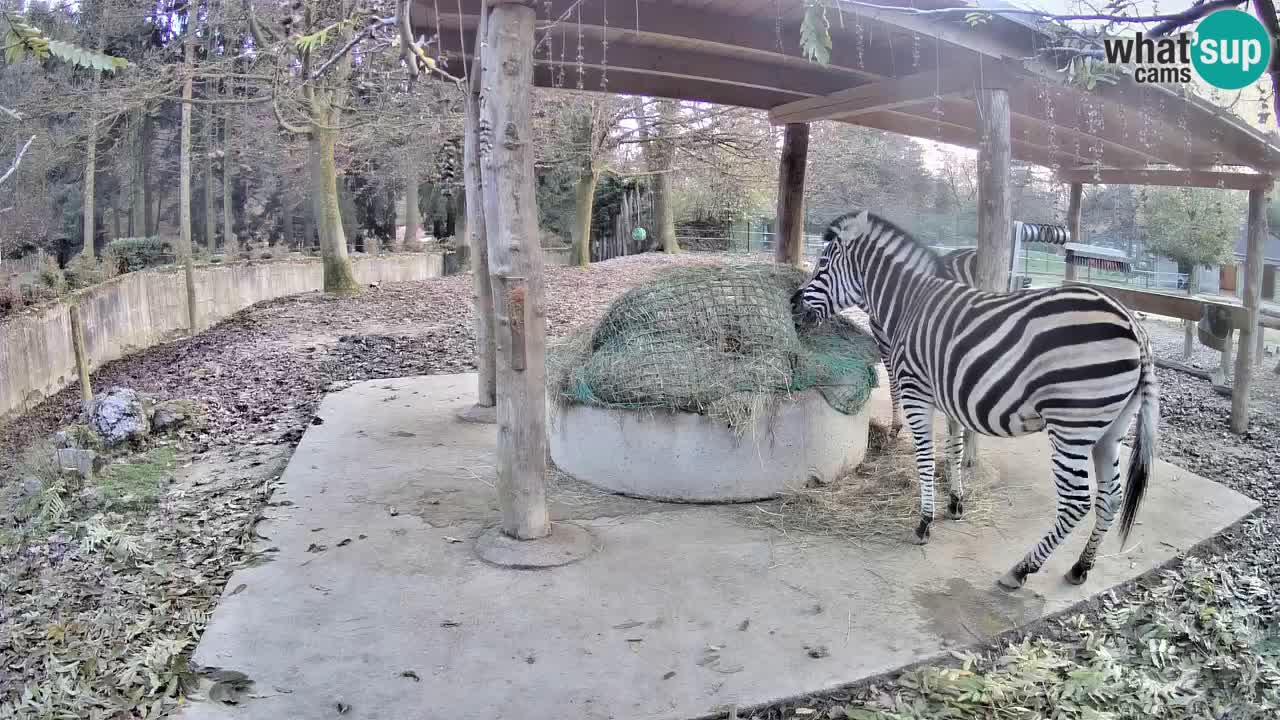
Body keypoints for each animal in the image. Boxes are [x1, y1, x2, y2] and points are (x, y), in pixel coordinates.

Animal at [788, 208, 1162, 589]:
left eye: (822, 263)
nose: (791, 303)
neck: (909, 302)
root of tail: (1134, 325)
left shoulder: (915, 390)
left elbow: (926, 456)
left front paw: (925, 522)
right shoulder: (949, 394)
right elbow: (953, 449)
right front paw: (955, 503)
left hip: (1072, 425)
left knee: (1076, 502)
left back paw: (1021, 569)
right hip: (1111, 428)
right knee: (1111, 498)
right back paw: (1080, 567)